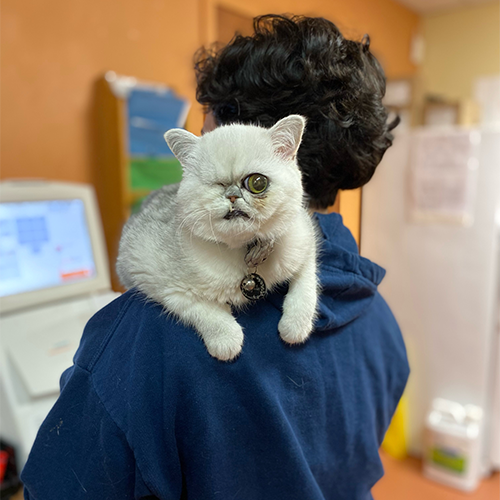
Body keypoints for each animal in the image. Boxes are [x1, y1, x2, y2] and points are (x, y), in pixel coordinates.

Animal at [115, 115, 318, 362]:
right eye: (216, 184)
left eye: (258, 183)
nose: (232, 196)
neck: (243, 249)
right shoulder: (151, 275)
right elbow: (203, 308)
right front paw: (226, 340)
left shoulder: (305, 239)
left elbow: (305, 287)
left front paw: (295, 326)